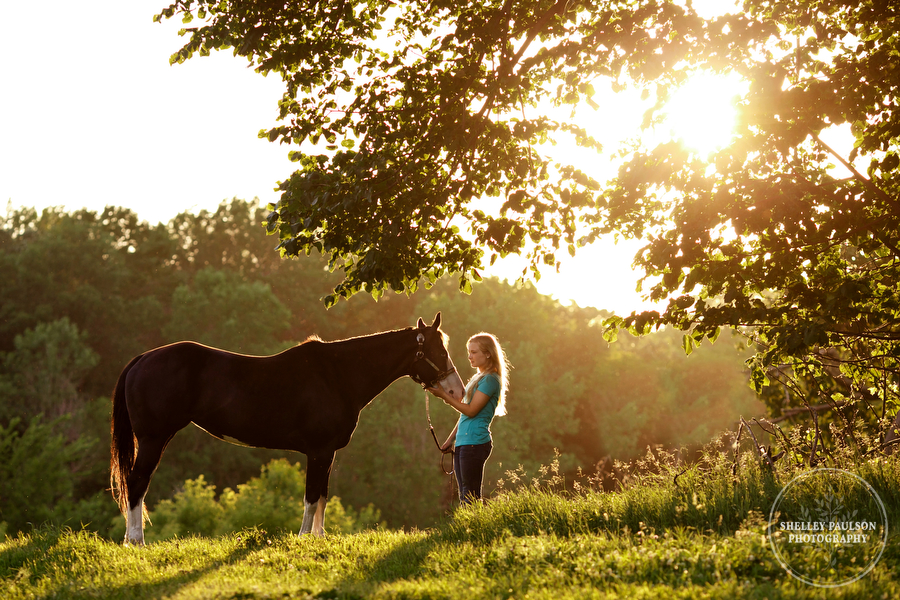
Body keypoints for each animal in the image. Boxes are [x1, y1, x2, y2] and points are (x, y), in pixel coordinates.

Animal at [110, 314, 464, 544]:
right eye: (440, 351)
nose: (457, 391)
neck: (338, 374)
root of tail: (142, 358)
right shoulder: (318, 451)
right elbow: (311, 496)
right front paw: (304, 537)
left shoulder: (328, 453)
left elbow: (322, 496)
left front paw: (319, 538)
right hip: (153, 439)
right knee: (137, 483)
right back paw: (136, 541)